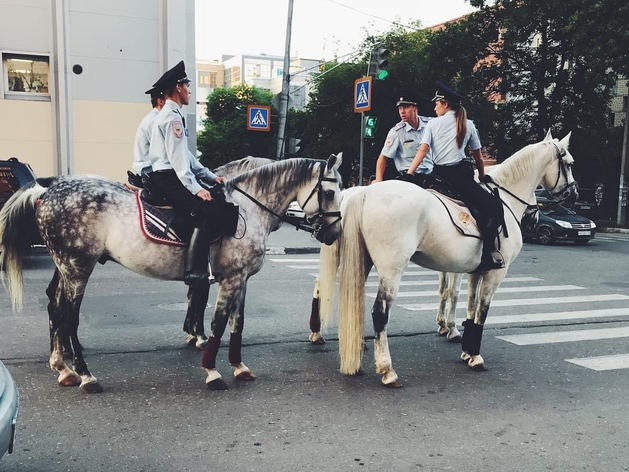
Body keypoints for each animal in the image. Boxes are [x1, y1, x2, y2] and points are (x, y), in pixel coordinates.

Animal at [324, 132, 576, 388]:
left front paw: (466, 350)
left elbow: (470, 306)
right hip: (391, 269)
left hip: (364, 264)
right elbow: (481, 311)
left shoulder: (476, 271)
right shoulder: (495, 274)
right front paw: (475, 355)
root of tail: (364, 192)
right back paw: (388, 370)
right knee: (379, 313)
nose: (573, 195)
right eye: (569, 163)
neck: (505, 198)